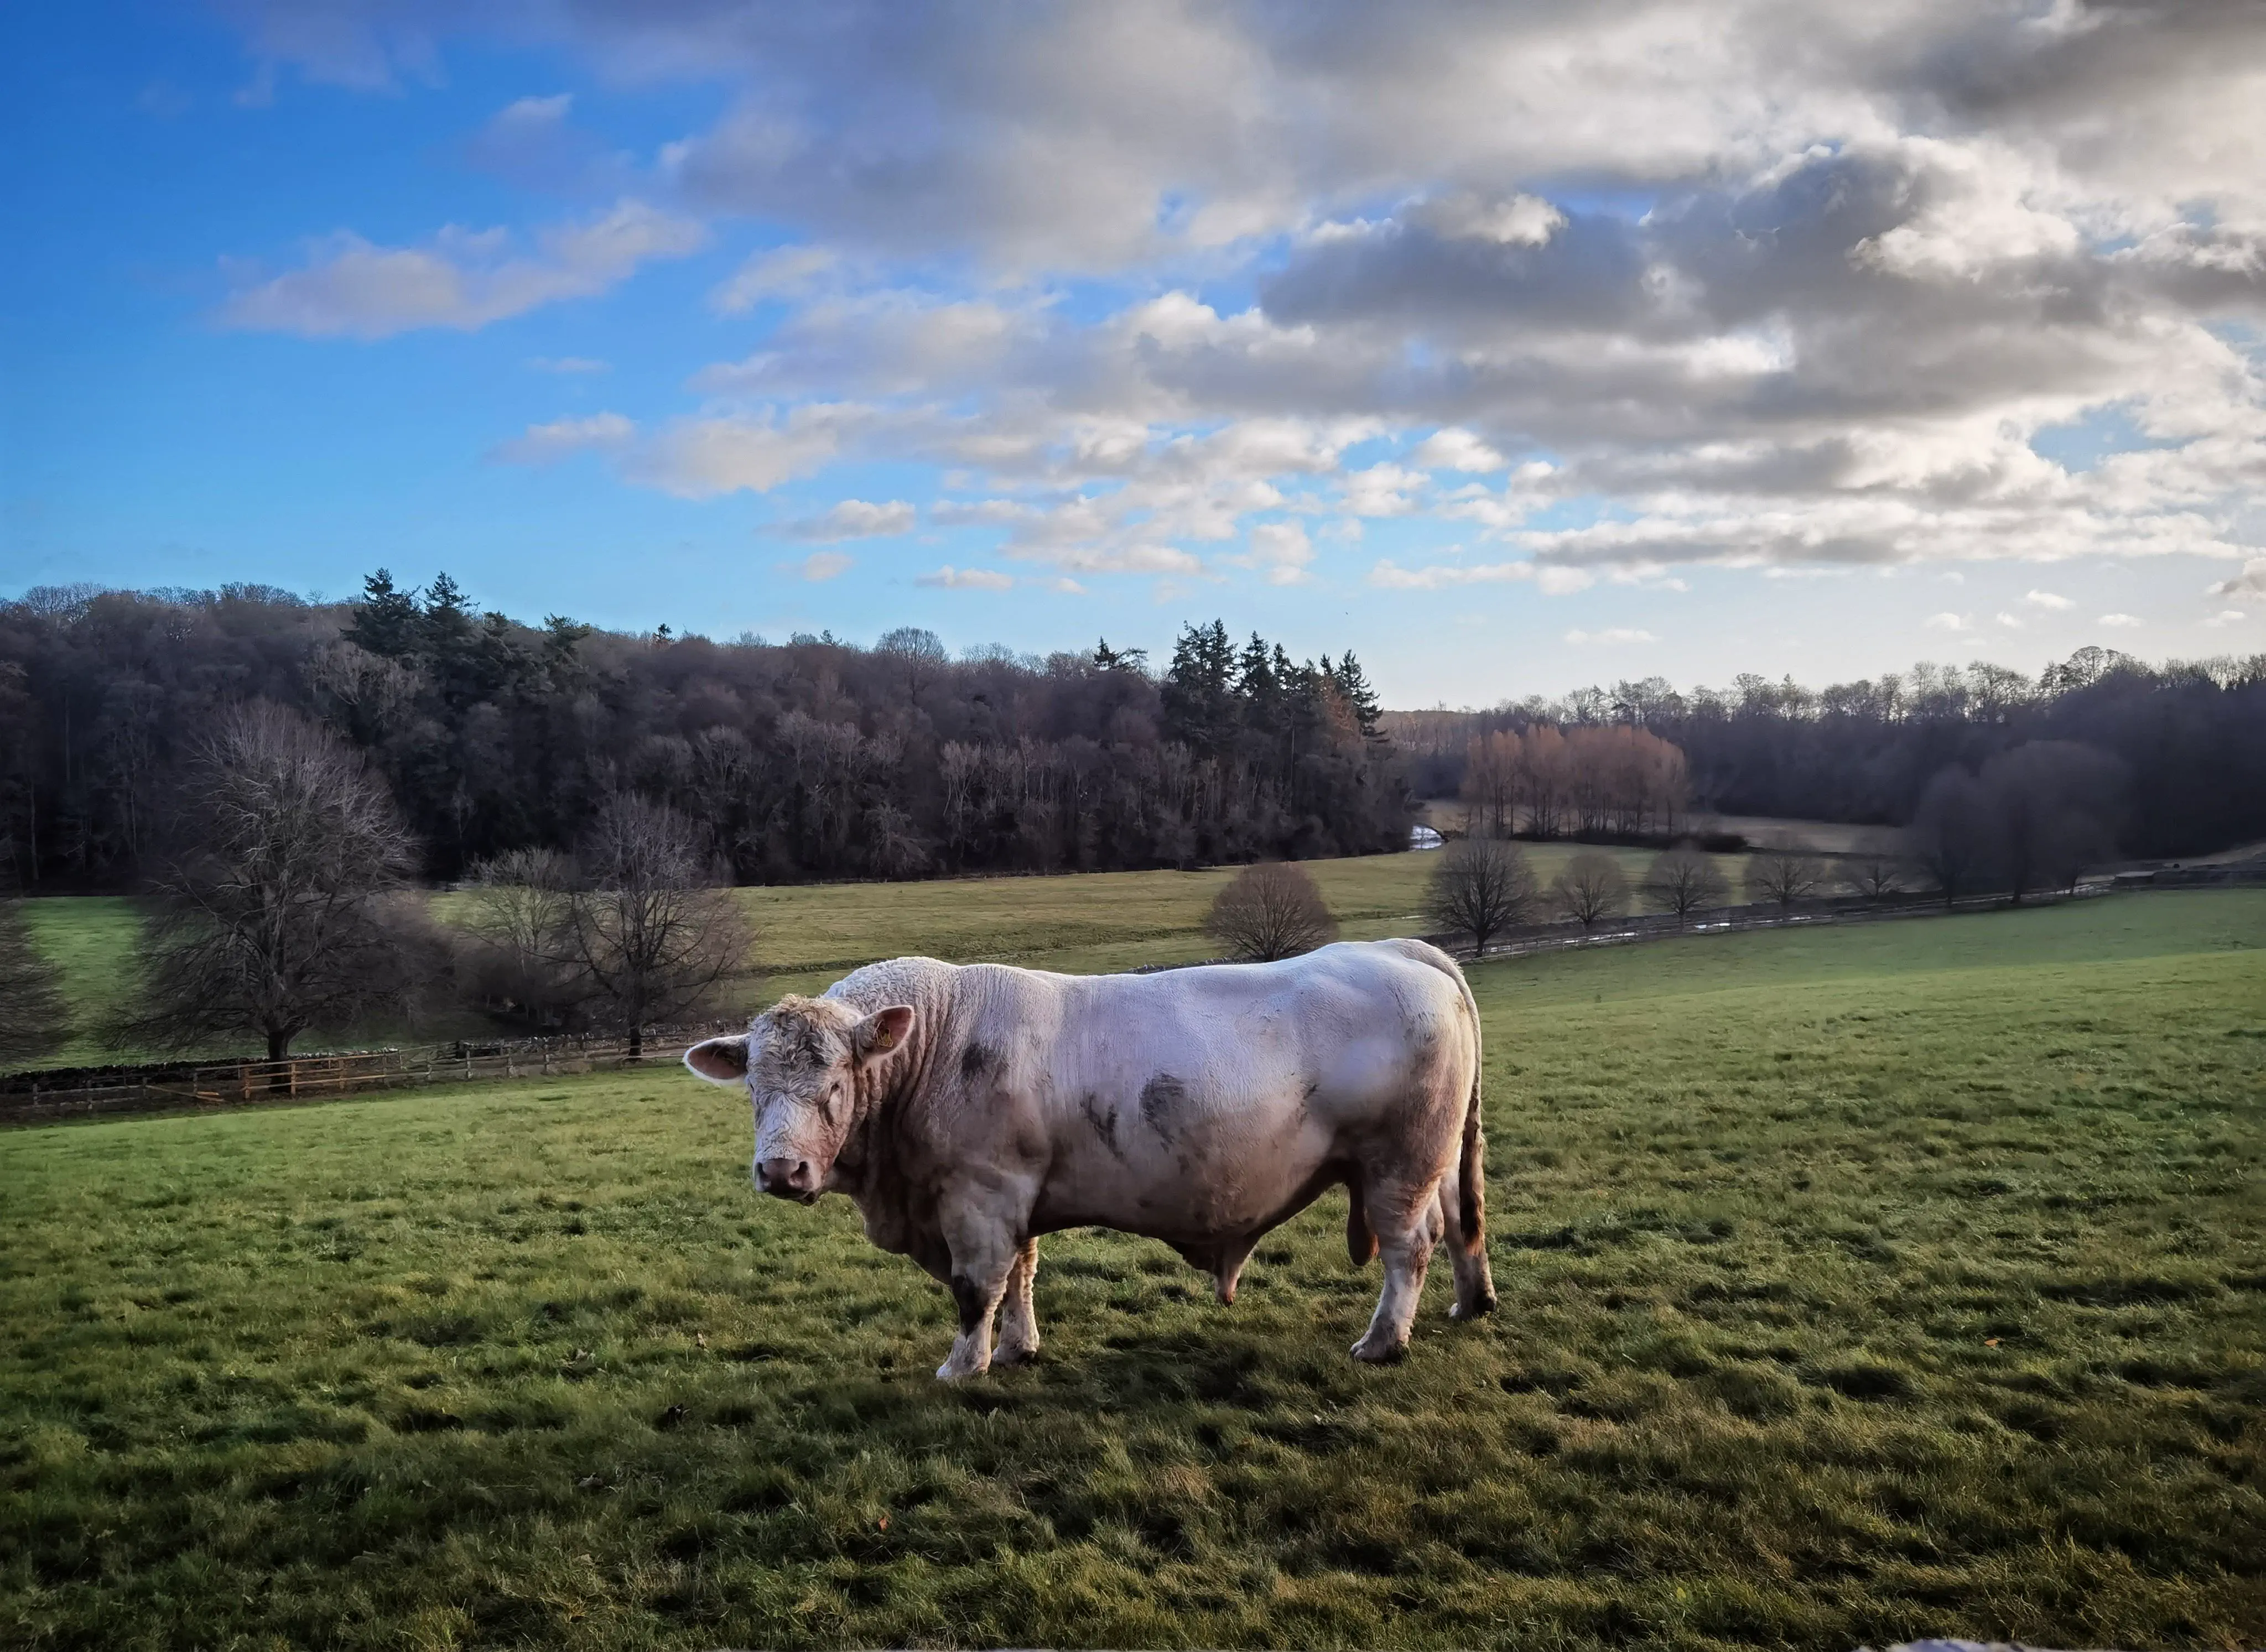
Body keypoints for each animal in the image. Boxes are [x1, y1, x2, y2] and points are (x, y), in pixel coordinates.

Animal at [682, 938, 1495, 1378]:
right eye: (753, 1085)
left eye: (835, 1084)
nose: (781, 1171)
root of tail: (1396, 948)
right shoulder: (1016, 1196)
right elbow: (1022, 1276)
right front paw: (1018, 1348)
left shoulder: (979, 1196)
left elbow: (978, 1286)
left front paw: (964, 1364)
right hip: (1433, 1158)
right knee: (1459, 1224)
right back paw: (1471, 1301)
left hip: (1398, 1161)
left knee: (1409, 1247)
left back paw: (1383, 1341)